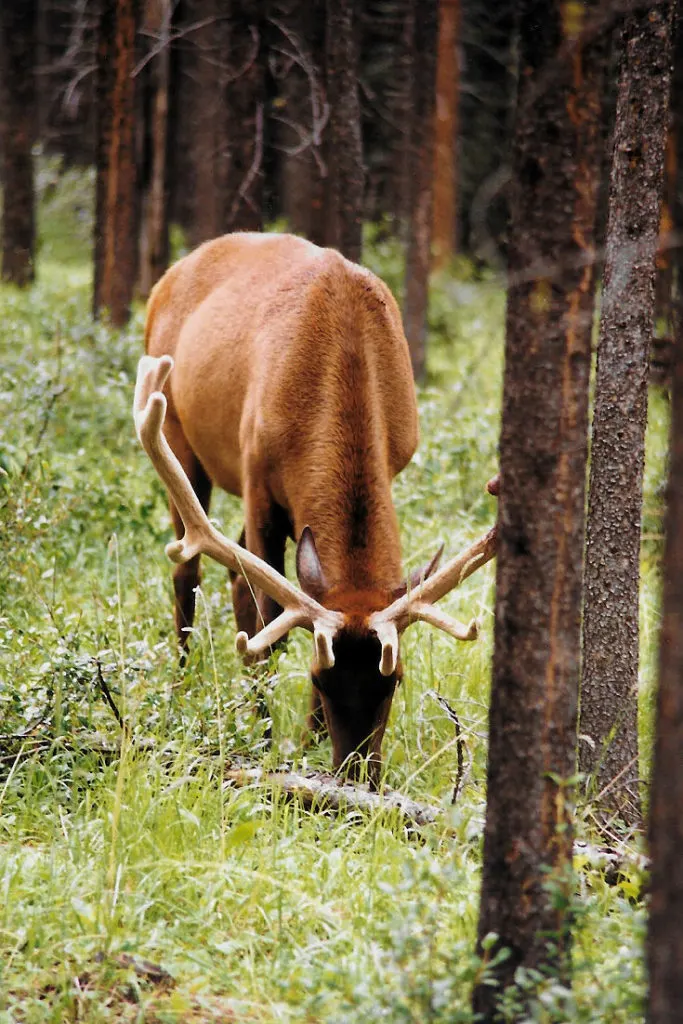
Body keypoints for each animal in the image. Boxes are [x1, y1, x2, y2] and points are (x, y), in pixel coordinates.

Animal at [135, 232, 497, 778]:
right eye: (320, 679)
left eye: (394, 680)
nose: (356, 774)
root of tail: (169, 275)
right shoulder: (256, 475)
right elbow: (268, 627)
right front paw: (266, 739)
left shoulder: (395, 460)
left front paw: (306, 741)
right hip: (179, 434)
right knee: (188, 571)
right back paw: (180, 687)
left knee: (234, 572)